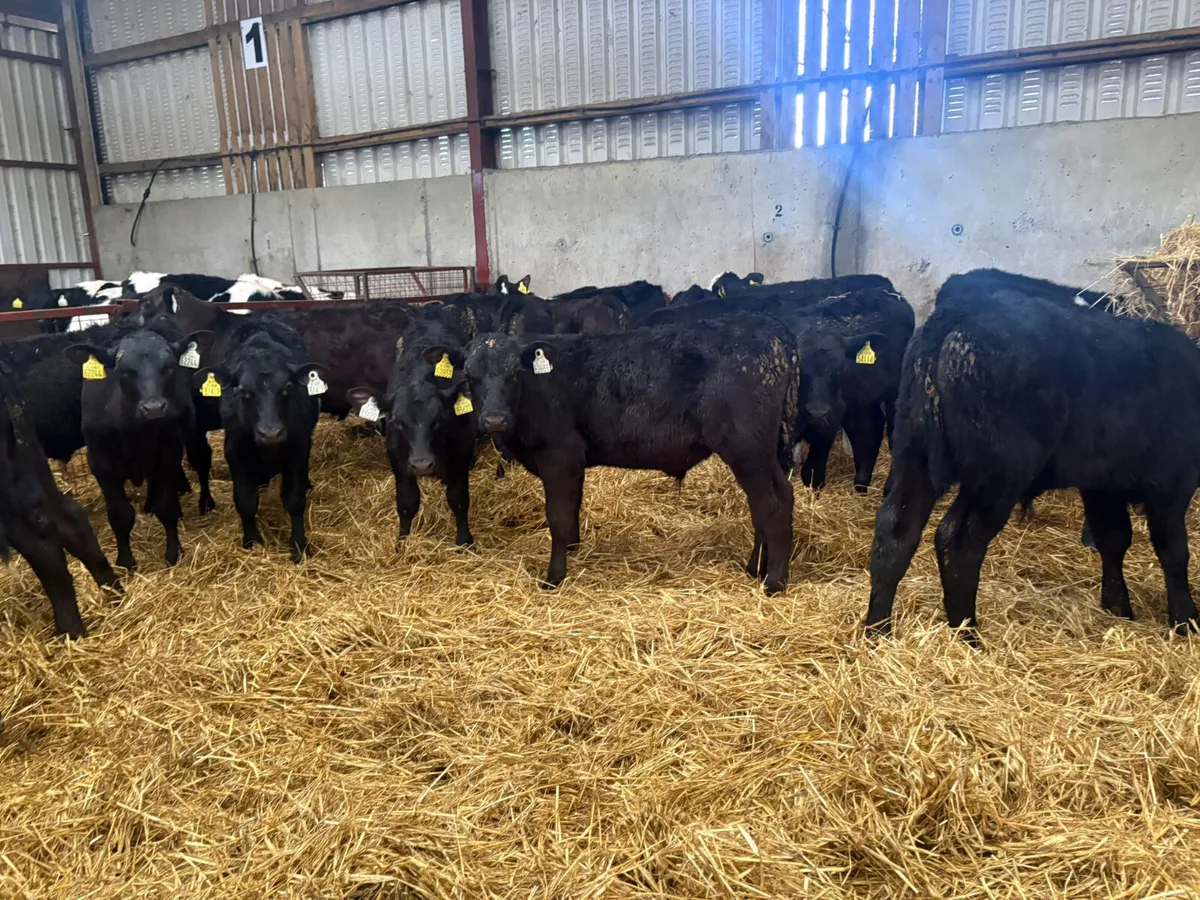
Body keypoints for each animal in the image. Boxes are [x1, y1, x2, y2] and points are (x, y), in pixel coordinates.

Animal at [66, 324, 215, 570]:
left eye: (169, 366)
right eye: (124, 370)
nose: (153, 408)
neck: (135, 432)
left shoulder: (168, 456)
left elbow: (167, 508)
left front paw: (173, 553)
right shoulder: (101, 466)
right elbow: (120, 515)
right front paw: (125, 561)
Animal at [194, 318, 325, 562]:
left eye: (287, 388)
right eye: (244, 392)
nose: (270, 433)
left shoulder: (298, 446)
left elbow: (294, 499)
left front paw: (299, 545)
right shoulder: (235, 449)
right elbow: (245, 500)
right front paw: (252, 541)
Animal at [347, 320, 478, 546]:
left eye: (439, 420)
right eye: (397, 423)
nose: (422, 464)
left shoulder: (462, 451)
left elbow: (458, 499)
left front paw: (464, 541)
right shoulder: (397, 457)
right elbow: (407, 502)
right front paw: (402, 543)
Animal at [464, 317, 798, 592]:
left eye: (513, 374)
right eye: (470, 376)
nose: (494, 419)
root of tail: (771, 331)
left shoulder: (559, 457)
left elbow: (558, 516)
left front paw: (554, 577)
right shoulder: (574, 464)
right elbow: (572, 509)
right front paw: (573, 548)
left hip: (747, 450)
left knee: (772, 503)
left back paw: (774, 582)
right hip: (762, 453)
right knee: (768, 502)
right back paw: (755, 569)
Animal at [866, 275, 1200, 643]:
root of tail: (957, 315)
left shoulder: (1101, 484)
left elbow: (1114, 539)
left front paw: (1117, 606)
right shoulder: (1173, 481)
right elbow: (1173, 551)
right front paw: (1185, 620)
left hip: (916, 452)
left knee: (896, 530)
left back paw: (878, 630)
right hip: (998, 473)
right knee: (959, 540)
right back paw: (967, 634)